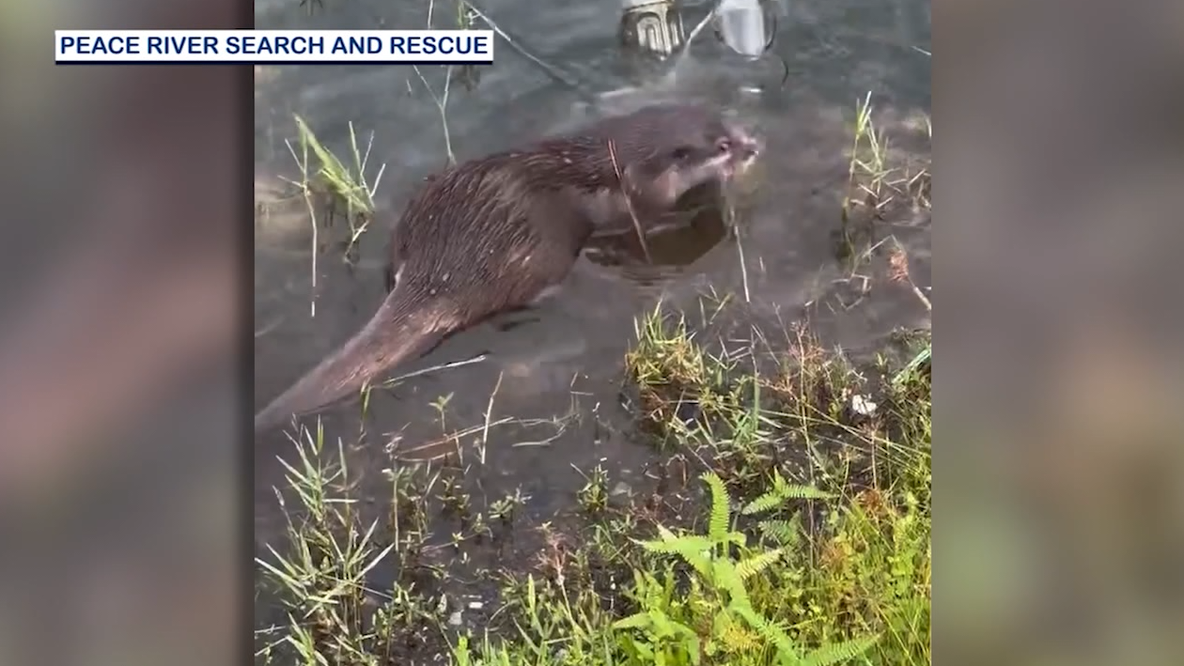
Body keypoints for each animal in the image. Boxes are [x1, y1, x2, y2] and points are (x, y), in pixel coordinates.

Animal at [255, 103, 761, 434]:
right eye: (723, 145)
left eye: (733, 124)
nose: (754, 146)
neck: (612, 173)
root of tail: (439, 269)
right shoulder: (634, 207)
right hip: (537, 261)